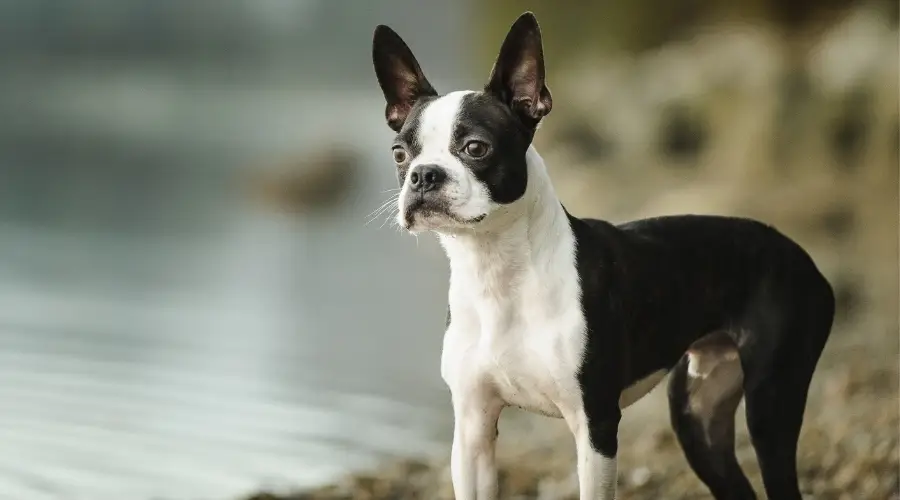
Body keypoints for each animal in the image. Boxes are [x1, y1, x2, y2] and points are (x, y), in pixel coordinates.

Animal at [370, 11, 832, 500]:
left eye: (476, 147)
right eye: (400, 154)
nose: (423, 175)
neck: (498, 271)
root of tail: (800, 255)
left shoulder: (595, 425)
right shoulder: (473, 430)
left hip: (770, 404)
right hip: (697, 415)